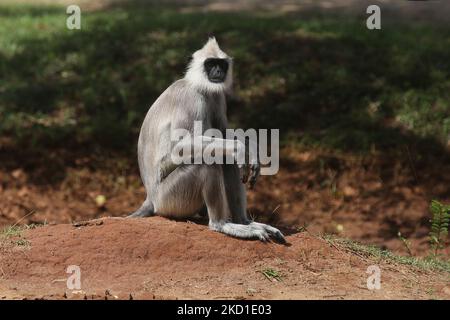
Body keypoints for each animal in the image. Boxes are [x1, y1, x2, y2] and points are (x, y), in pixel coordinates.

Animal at [128, 38, 284, 242]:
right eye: (210, 64)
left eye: (221, 64)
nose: (217, 71)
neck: (198, 85)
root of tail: (150, 199)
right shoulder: (191, 99)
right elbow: (179, 147)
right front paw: (242, 148)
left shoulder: (217, 96)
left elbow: (224, 134)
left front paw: (251, 147)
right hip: (170, 199)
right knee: (207, 161)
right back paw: (222, 225)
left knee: (225, 158)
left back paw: (244, 221)